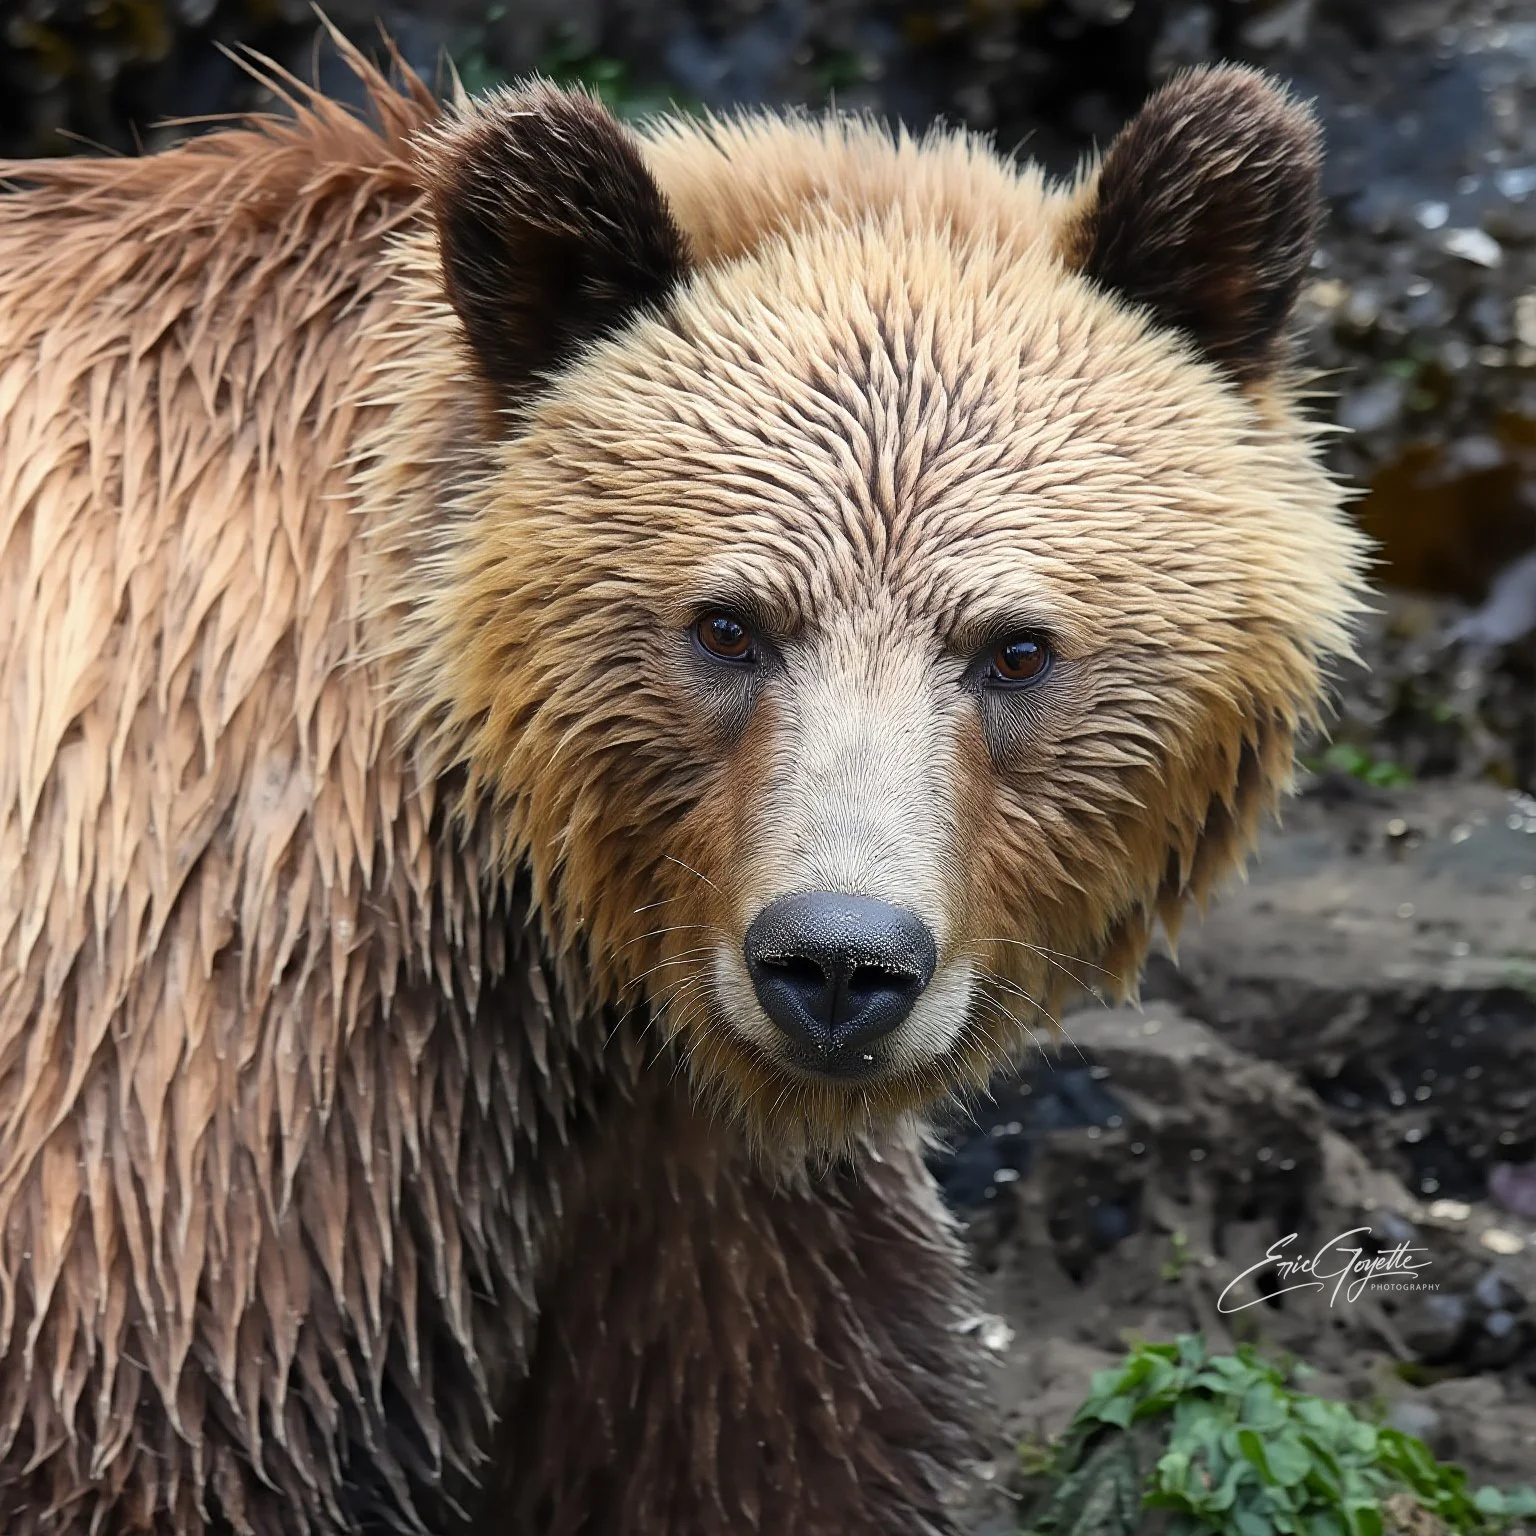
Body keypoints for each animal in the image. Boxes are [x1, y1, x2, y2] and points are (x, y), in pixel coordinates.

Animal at [0, 33, 1366, 1536]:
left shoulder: (684, 1190)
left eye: (1016, 648)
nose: (838, 961)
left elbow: (755, 1431)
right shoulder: (208, 1098)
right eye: (727, 625)